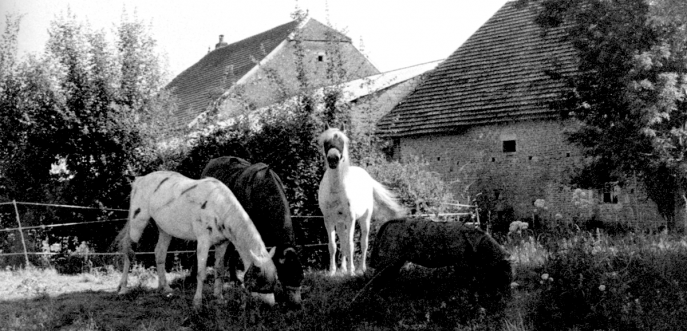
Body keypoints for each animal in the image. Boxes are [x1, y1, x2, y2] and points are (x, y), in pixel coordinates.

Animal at [117, 171, 278, 308]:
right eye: (260, 281)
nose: (270, 305)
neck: (219, 206)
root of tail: (140, 180)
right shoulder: (203, 242)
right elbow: (201, 273)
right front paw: (197, 302)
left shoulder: (222, 244)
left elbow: (219, 270)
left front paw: (219, 298)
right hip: (138, 223)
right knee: (129, 252)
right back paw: (123, 288)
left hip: (165, 230)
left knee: (159, 253)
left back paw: (166, 288)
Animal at [318, 127, 408, 278]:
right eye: (326, 142)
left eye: (342, 141)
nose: (333, 159)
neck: (336, 188)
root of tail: (367, 177)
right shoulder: (329, 220)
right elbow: (333, 246)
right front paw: (332, 272)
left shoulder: (351, 219)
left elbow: (351, 245)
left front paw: (351, 271)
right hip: (340, 222)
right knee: (342, 242)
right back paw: (342, 269)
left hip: (364, 219)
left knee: (363, 243)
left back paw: (361, 269)